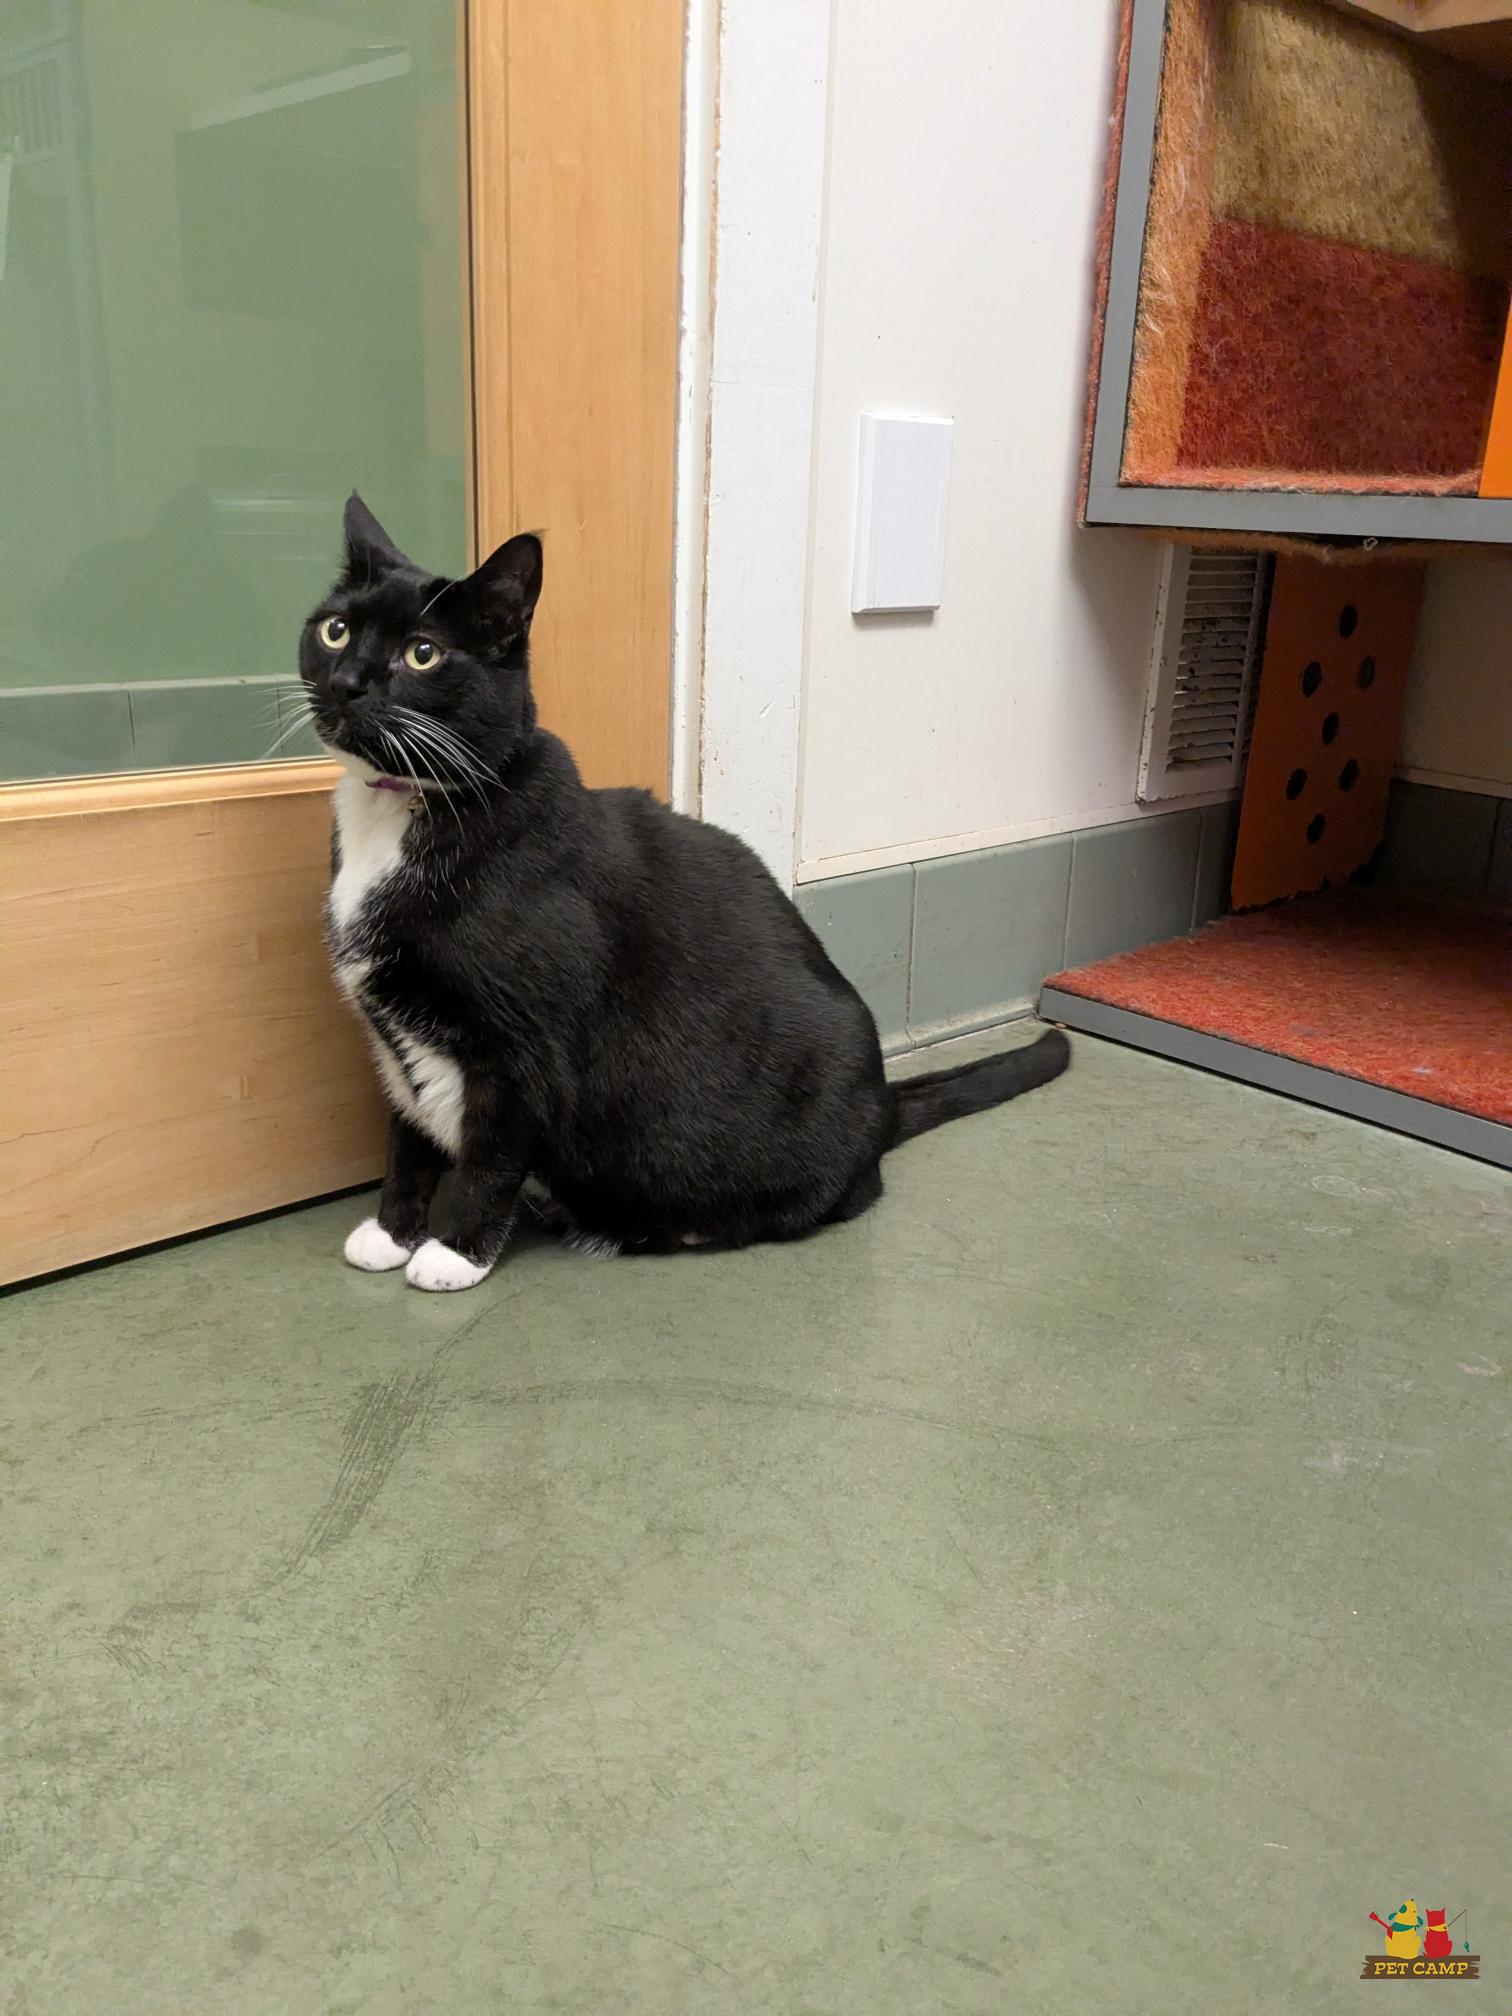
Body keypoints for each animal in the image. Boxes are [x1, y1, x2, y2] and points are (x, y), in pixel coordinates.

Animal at [300, 493, 1070, 1291]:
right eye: (335, 629)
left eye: (423, 653)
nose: (347, 680)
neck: (403, 811)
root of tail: (884, 1106)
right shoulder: (395, 1035)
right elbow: (408, 1135)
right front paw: (394, 1232)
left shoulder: (525, 1044)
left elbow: (491, 1153)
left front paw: (455, 1252)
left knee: (842, 1197)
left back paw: (651, 1225)